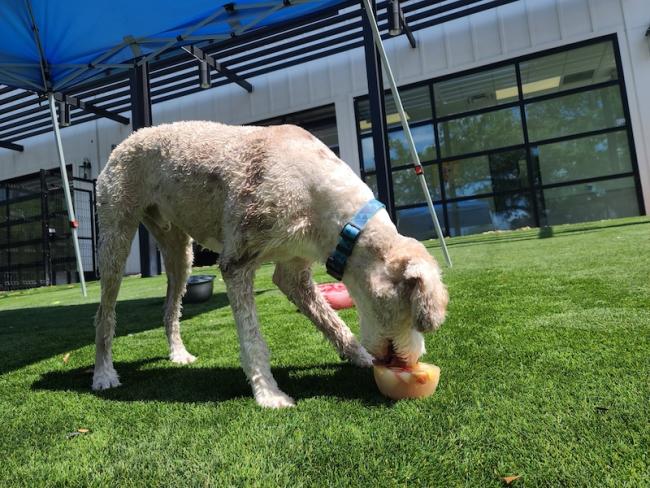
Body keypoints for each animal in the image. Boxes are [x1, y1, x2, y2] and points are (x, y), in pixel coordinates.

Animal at [92, 121, 446, 408]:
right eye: (412, 313)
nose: (414, 361)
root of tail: (127, 139)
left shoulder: (294, 271)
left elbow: (331, 320)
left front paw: (357, 356)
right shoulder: (237, 262)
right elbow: (253, 340)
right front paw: (270, 395)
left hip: (179, 249)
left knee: (170, 308)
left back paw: (178, 354)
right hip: (116, 236)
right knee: (105, 313)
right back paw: (104, 374)